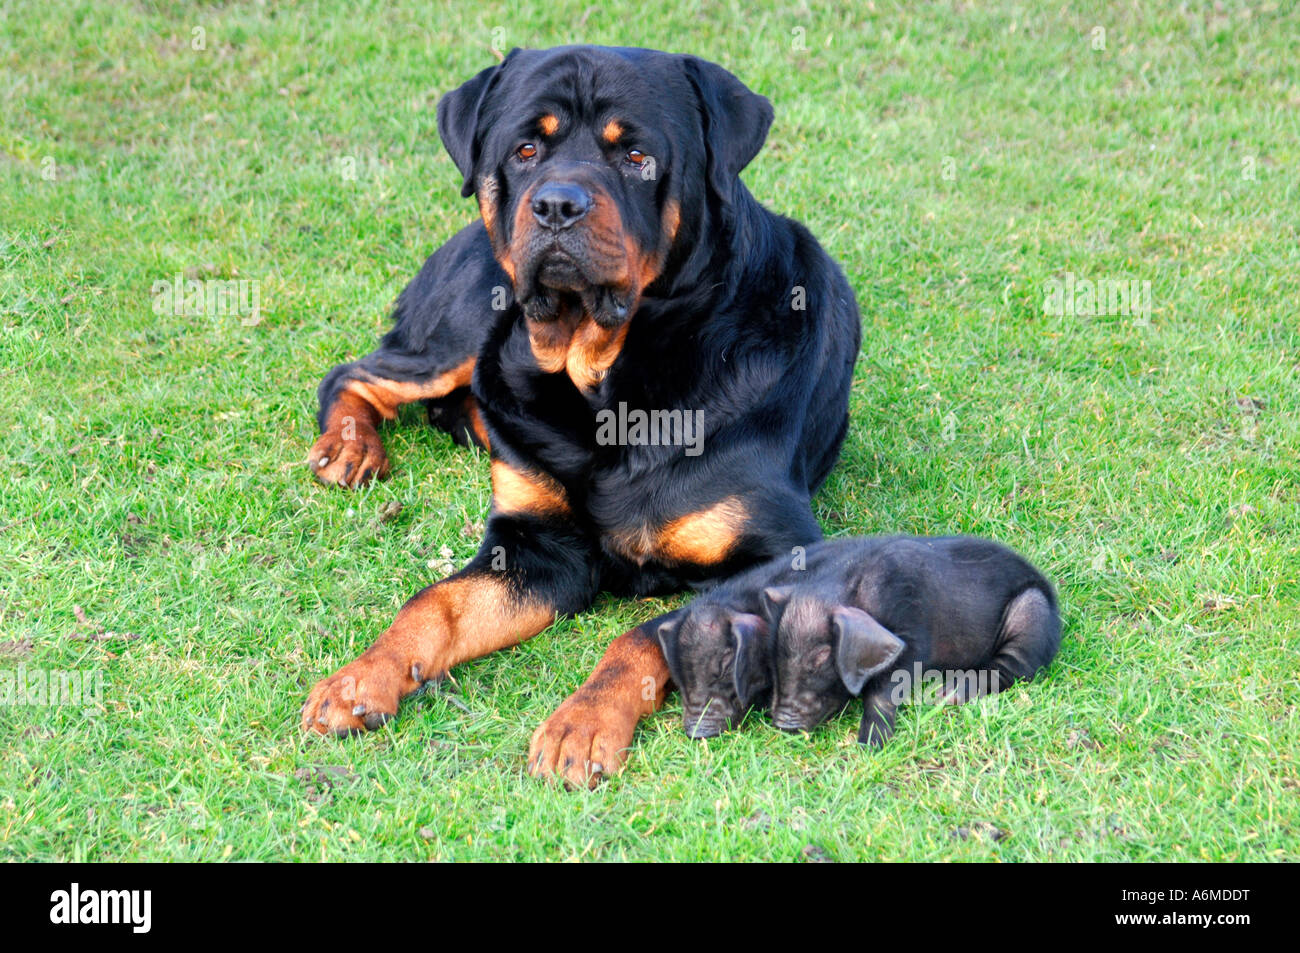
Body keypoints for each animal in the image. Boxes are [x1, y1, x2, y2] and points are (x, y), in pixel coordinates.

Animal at [302, 46, 863, 790]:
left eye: (636, 156)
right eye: (525, 149)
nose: (557, 203)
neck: (607, 385)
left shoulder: (778, 557)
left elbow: (649, 630)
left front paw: (583, 722)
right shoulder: (535, 545)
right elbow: (434, 602)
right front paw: (360, 678)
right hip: (466, 325)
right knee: (357, 372)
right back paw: (351, 446)